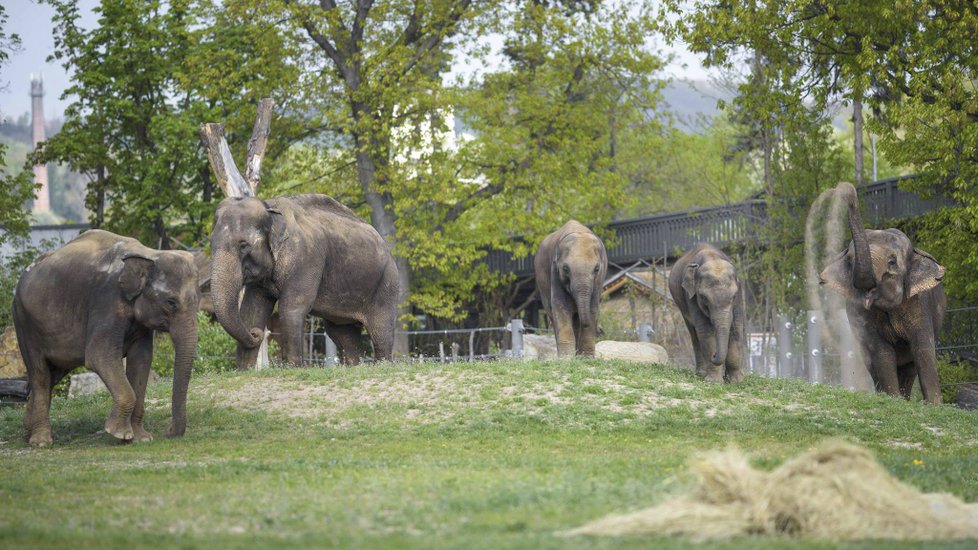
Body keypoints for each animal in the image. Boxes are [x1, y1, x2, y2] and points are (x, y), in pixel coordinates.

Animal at [11, 231, 200, 446]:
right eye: (171, 302)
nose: (169, 432)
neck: (148, 253)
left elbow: (142, 359)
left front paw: (142, 438)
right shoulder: (106, 301)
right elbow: (99, 356)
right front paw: (120, 434)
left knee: (52, 375)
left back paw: (29, 434)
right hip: (24, 323)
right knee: (40, 373)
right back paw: (42, 441)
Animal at [212, 195, 398, 370]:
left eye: (244, 245)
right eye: (211, 244)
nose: (256, 333)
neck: (270, 207)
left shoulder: (306, 257)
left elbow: (291, 307)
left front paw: (293, 368)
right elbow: (252, 310)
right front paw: (243, 370)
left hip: (386, 284)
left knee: (380, 331)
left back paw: (383, 366)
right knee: (342, 334)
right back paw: (353, 368)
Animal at [528, 220, 608, 358]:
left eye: (597, 269)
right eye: (565, 269)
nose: (600, 330)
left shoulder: (598, 281)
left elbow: (592, 308)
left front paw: (587, 358)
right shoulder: (554, 272)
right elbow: (561, 306)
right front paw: (566, 358)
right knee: (553, 314)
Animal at [668, 244, 744, 386]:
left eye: (734, 296)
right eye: (704, 297)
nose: (714, 355)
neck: (712, 257)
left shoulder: (739, 298)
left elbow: (736, 328)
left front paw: (736, 381)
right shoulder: (690, 296)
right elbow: (705, 331)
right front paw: (713, 382)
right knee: (694, 334)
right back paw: (701, 374)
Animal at [816, 183, 944, 404]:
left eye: (892, 262)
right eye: (850, 261)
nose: (844, 188)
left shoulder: (919, 303)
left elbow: (923, 349)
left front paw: (934, 406)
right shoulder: (865, 317)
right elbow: (882, 353)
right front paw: (892, 399)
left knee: (909, 367)